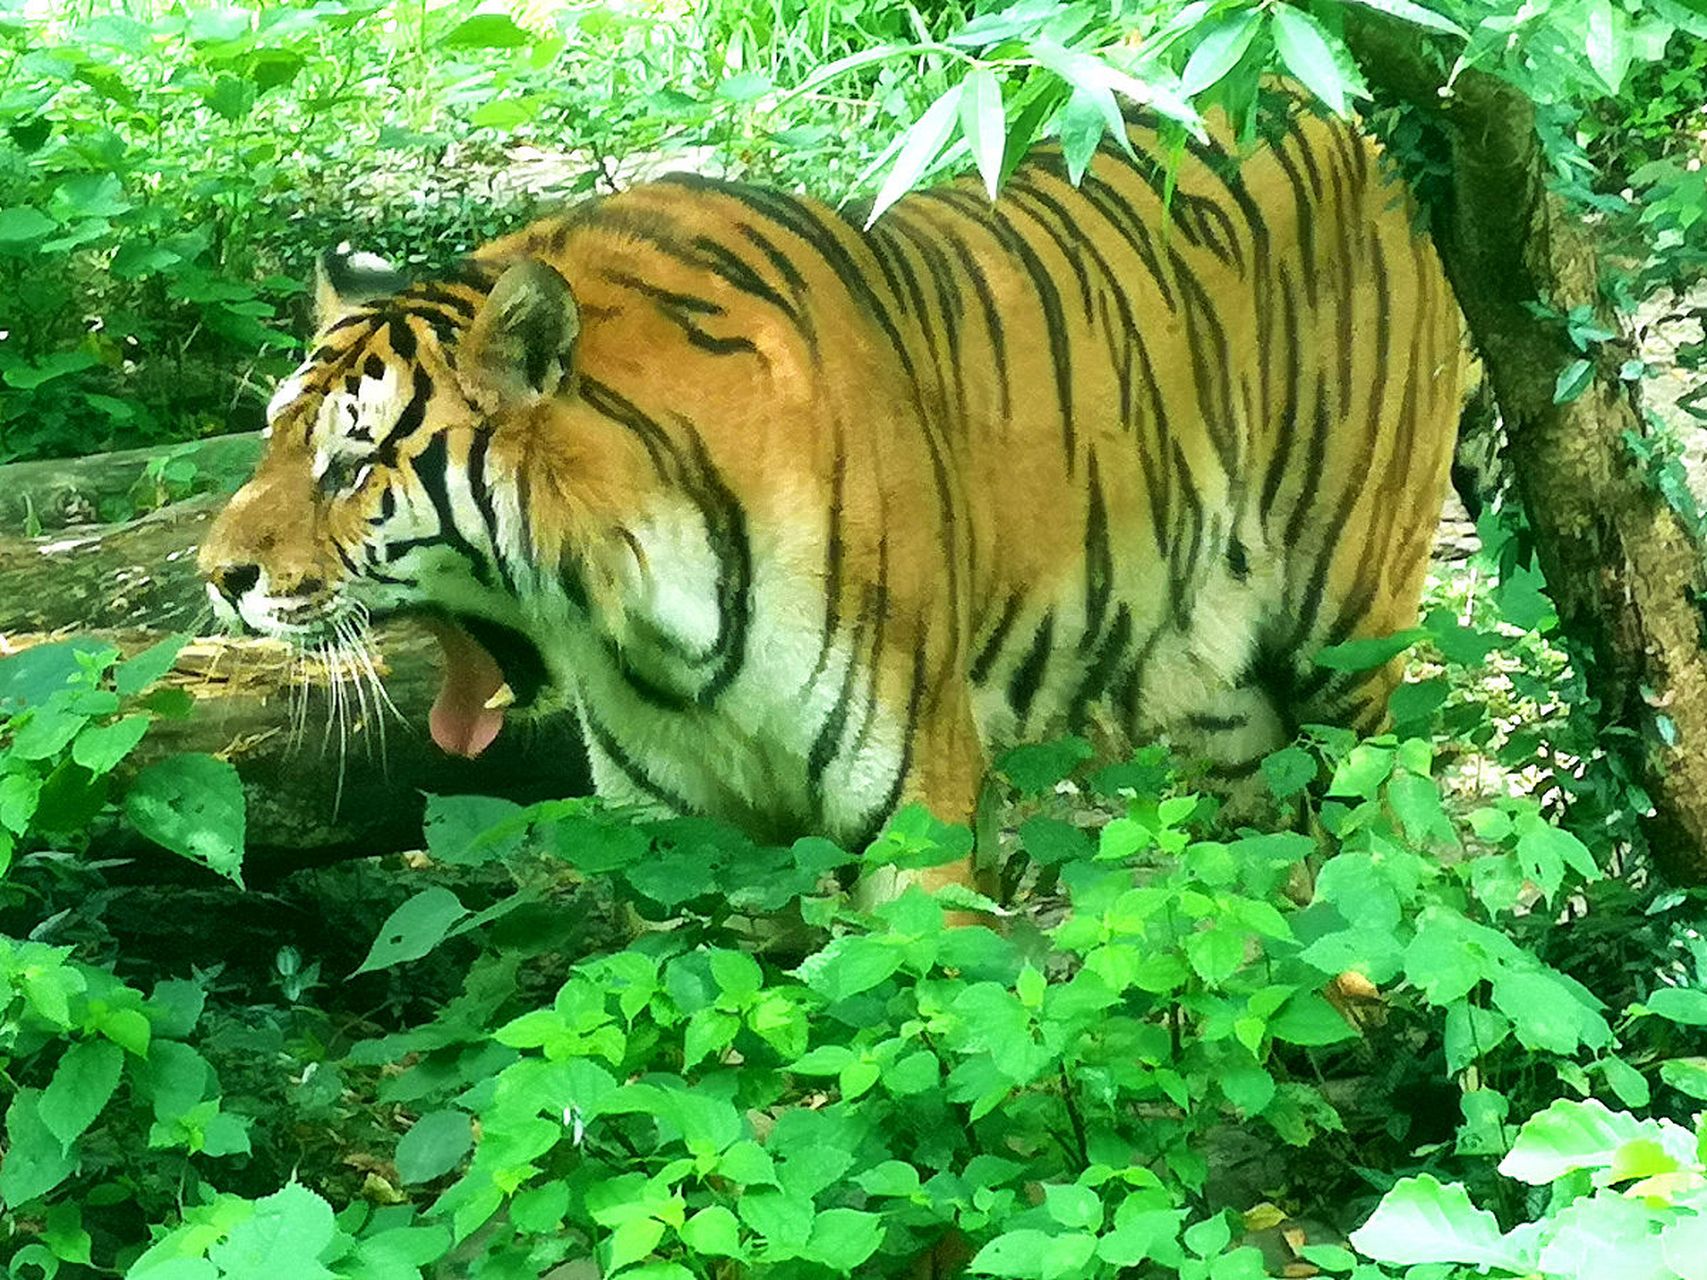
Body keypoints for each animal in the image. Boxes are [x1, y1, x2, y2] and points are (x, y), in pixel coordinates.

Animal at [196, 102, 1454, 901]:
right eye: (272, 441)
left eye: (349, 466)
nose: (217, 576)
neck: (634, 627)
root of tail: (1363, 121)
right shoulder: (678, 837)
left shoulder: (917, 809)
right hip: (1222, 701)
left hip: (1344, 632)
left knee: (1380, 835)